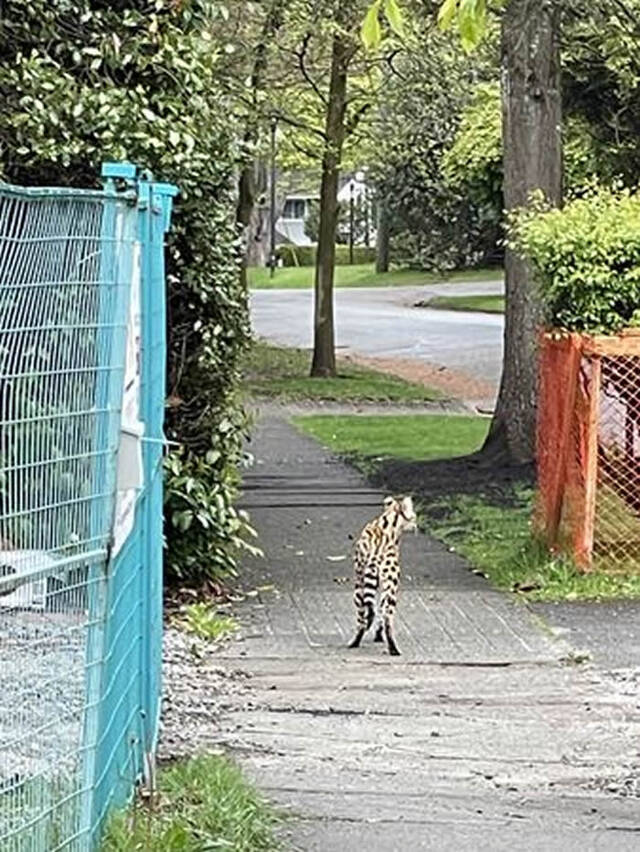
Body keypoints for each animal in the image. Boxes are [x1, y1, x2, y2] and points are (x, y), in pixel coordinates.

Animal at [348, 496, 418, 656]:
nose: (416, 524)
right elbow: (379, 612)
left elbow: (373, 612)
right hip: (389, 590)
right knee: (386, 620)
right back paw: (393, 648)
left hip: (359, 588)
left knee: (364, 619)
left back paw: (356, 641)